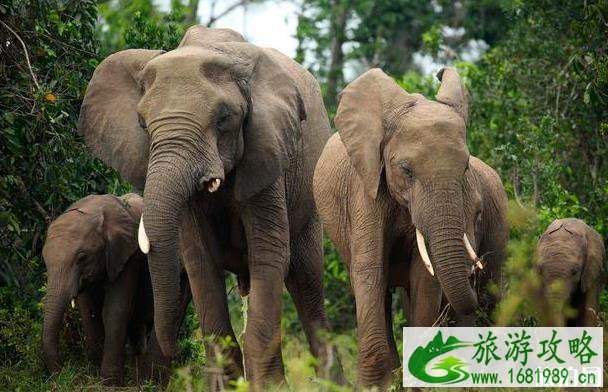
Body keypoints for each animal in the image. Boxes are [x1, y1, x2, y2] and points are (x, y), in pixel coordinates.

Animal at [41, 193, 189, 386]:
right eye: (44, 258)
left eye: (82, 258)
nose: (61, 374)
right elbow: (88, 311)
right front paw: (94, 372)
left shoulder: (127, 256)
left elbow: (115, 310)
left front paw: (109, 382)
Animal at [78, 26, 334, 388]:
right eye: (141, 122)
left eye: (224, 118)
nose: (168, 347)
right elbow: (200, 262)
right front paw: (229, 385)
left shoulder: (266, 152)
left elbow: (269, 254)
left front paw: (268, 388)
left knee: (306, 284)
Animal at [314, 67, 508, 388]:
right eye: (405, 169)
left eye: (465, 167)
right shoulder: (366, 188)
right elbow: (370, 270)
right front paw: (375, 385)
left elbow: (425, 276)